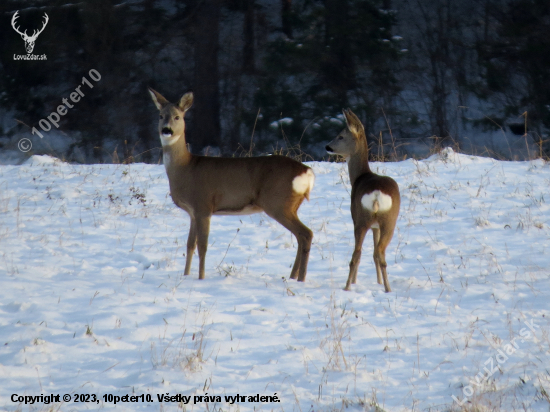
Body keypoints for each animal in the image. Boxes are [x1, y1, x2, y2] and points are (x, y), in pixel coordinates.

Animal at [150, 88, 314, 282]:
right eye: (161, 115)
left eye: (177, 117)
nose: (166, 130)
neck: (185, 167)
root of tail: (306, 171)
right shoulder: (192, 212)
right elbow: (190, 244)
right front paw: (186, 275)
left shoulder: (203, 205)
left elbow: (202, 246)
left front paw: (201, 278)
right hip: (291, 205)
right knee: (300, 236)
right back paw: (293, 276)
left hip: (277, 202)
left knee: (306, 233)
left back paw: (301, 278)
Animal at [328, 108, 402, 292]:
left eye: (341, 136)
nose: (328, 147)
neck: (360, 177)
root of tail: (375, 195)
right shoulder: (375, 226)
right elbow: (374, 253)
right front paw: (379, 281)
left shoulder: (358, 219)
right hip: (386, 221)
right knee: (377, 253)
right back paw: (386, 288)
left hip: (362, 220)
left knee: (359, 254)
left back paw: (348, 287)